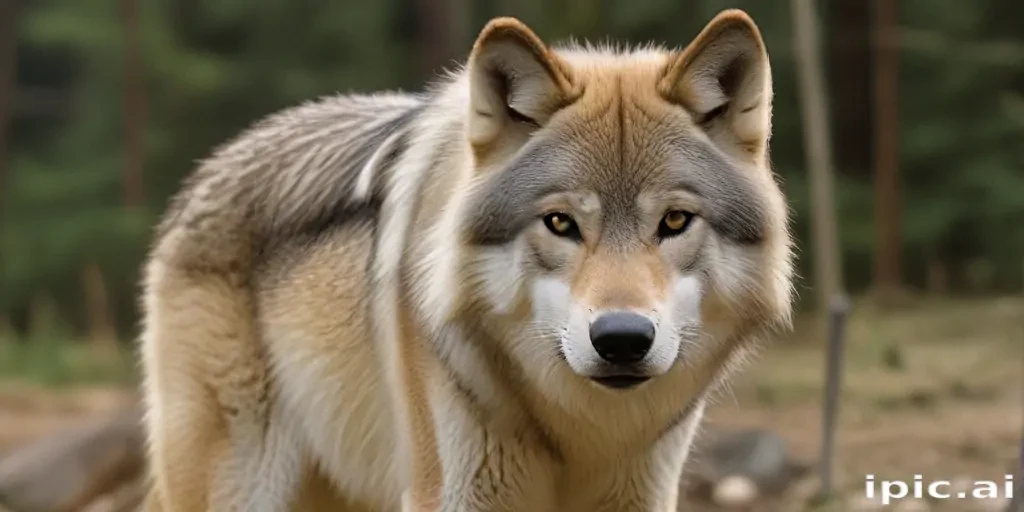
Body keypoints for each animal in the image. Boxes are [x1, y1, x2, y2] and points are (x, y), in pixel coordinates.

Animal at [138, 8, 794, 512]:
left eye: (675, 221)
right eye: (561, 223)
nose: (623, 339)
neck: (579, 435)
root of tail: (210, 167)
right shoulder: (453, 494)